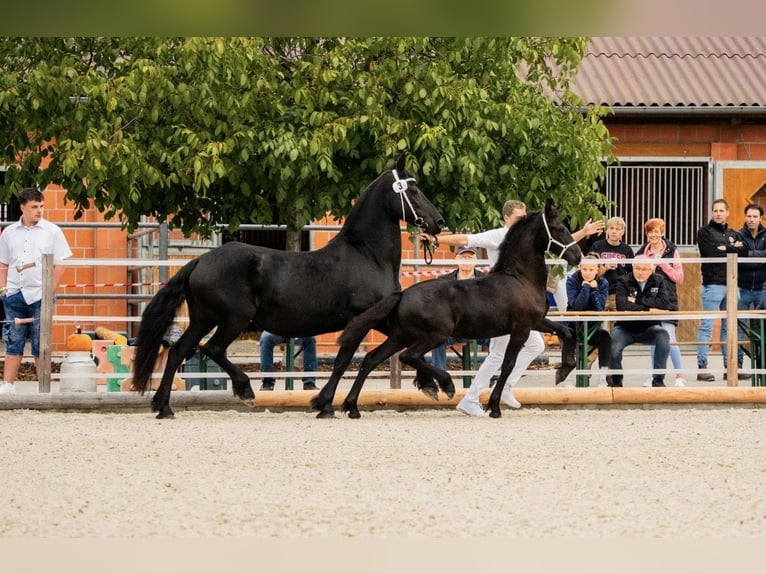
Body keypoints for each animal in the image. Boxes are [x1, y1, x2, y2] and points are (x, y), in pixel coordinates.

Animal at [131, 155, 445, 419]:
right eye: (413, 191)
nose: (438, 222)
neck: (366, 254)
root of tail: (199, 261)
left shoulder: (381, 318)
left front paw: (430, 385)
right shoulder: (362, 318)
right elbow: (344, 361)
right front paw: (325, 405)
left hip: (203, 319)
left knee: (178, 352)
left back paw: (164, 407)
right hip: (233, 319)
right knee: (213, 349)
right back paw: (245, 390)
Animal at [310, 199, 582, 419]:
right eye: (560, 228)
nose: (578, 256)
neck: (519, 278)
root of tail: (403, 294)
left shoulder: (536, 322)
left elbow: (567, 333)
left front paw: (563, 371)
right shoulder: (521, 329)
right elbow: (507, 365)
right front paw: (494, 407)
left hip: (401, 335)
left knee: (371, 359)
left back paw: (352, 407)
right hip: (434, 335)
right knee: (408, 357)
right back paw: (447, 385)